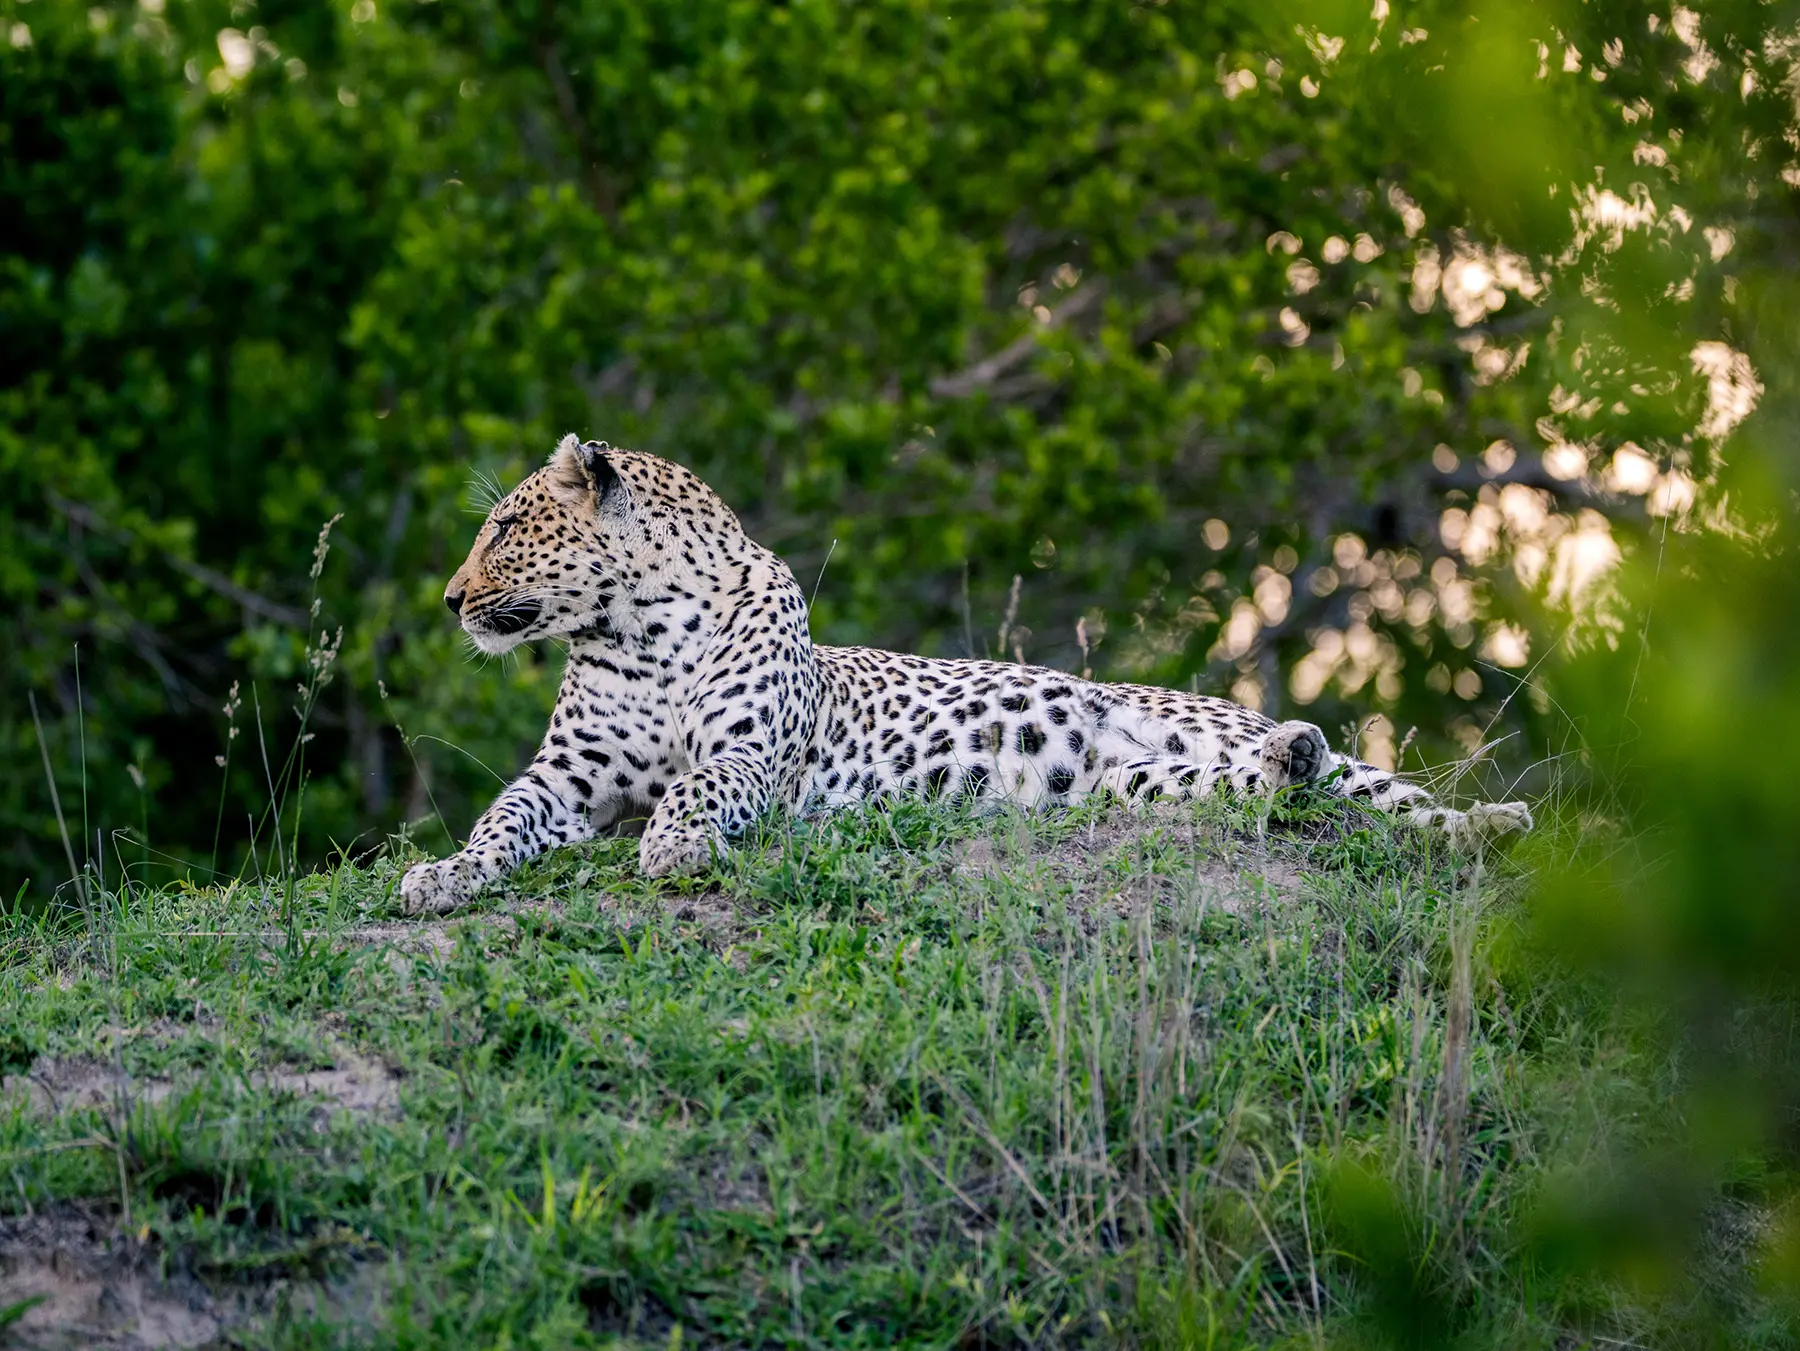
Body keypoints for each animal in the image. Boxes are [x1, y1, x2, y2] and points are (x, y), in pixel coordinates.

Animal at [398, 435, 1532, 914]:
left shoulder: (750, 754)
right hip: (1145, 786)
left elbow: (698, 783)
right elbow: (501, 817)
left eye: (504, 528)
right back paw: (1300, 759)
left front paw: (674, 843)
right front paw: (444, 875)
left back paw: (1492, 820)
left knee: (1395, 800)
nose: (446, 599)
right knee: (1279, 789)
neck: (639, 631)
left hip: (1229, 744)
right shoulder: (566, 778)